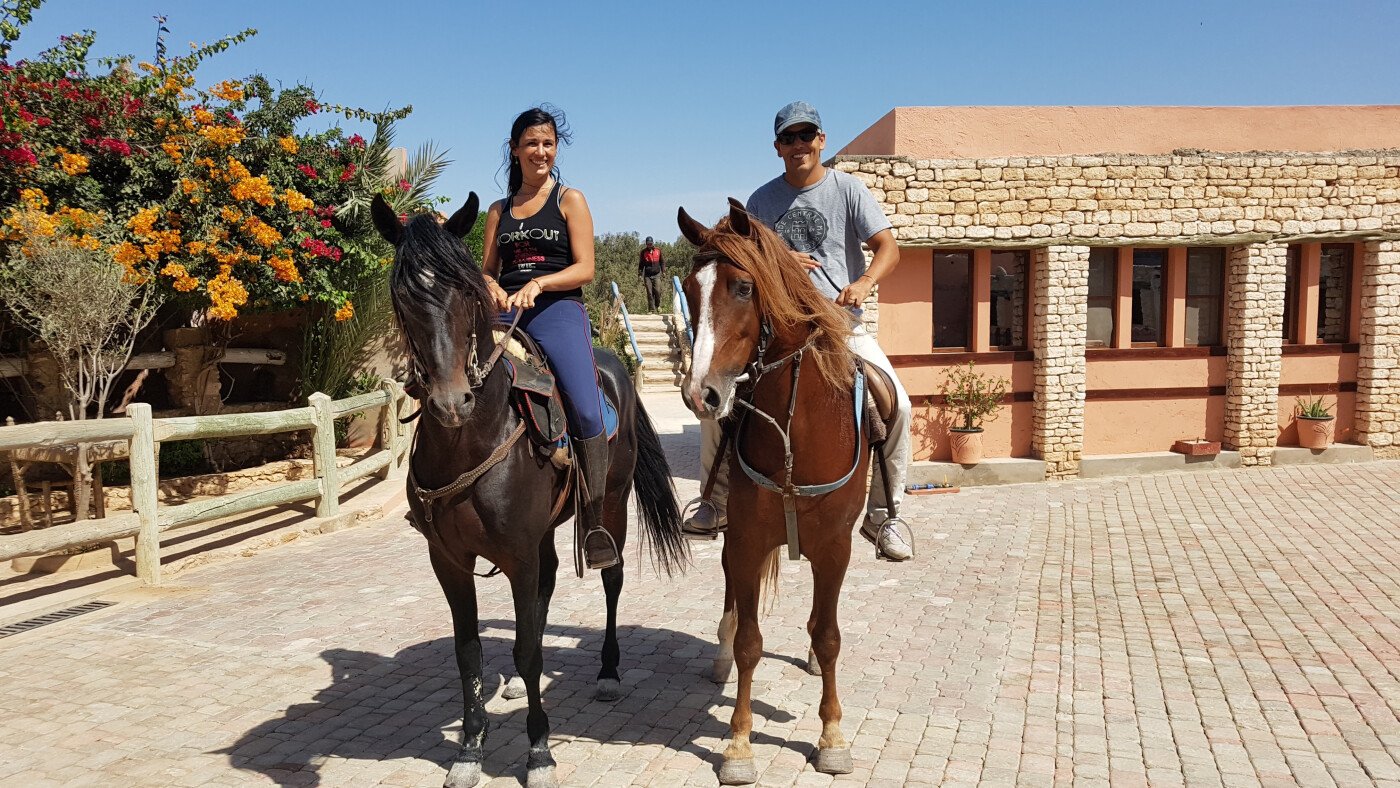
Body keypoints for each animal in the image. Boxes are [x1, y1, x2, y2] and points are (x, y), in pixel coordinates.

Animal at [372, 193, 688, 788]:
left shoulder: (516, 553)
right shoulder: (449, 560)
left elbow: (526, 653)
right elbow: (470, 653)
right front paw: (470, 748)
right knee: (549, 581)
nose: (451, 402)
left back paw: (608, 672)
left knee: (609, 579)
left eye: (465, 290)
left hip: (611, 507)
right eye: (402, 294)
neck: (473, 438)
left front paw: (539, 750)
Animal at [680, 200, 868, 783]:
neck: (796, 433)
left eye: (744, 287)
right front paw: (739, 745)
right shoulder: (747, 540)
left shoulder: (834, 547)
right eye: (689, 290)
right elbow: (749, 643)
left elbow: (828, 637)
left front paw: (832, 736)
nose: (700, 394)